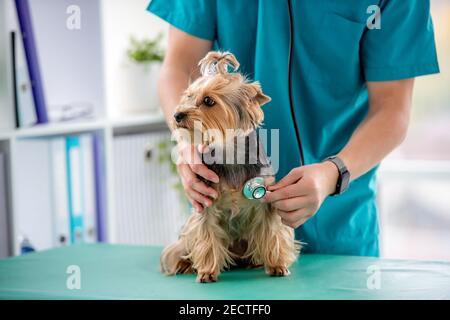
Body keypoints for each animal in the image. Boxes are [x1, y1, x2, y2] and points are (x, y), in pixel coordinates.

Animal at [160, 50, 300, 282]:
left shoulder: (266, 202)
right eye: (188, 96)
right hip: (185, 236)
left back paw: (254, 261)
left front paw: (277, 264)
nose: (177, 115)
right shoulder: (205, 202)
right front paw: (207, 271)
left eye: (208, 100)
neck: (228, 151)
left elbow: (272, 231)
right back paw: (185, 264)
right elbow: (206, 235)